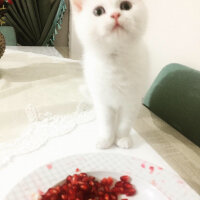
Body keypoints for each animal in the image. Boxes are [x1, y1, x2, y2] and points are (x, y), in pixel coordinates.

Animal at [71, 0, 148, 148]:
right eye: (98, 11)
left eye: (126, 6)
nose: (115, 14)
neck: (115, 60)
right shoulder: (102, 101)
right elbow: (106, 123)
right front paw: (106, 140)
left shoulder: (132, 101)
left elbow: (124, 124)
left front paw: (121, 139)